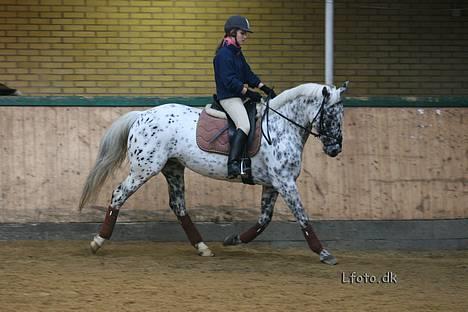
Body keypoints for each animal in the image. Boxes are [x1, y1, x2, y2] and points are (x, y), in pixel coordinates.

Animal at [78, 81, 348, 266]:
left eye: (341, 116)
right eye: (330, 116)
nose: (335, 149)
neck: (282, 126)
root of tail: (142, 115)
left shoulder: (273, 183)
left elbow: (264, 220)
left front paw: (234, 239)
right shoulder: (285, 182)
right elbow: (302, 217)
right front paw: (324, 253)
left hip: (173, 168)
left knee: (178, 206)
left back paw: (203, 247)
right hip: (144, 169)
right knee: (118, 194)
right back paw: (98, 241)